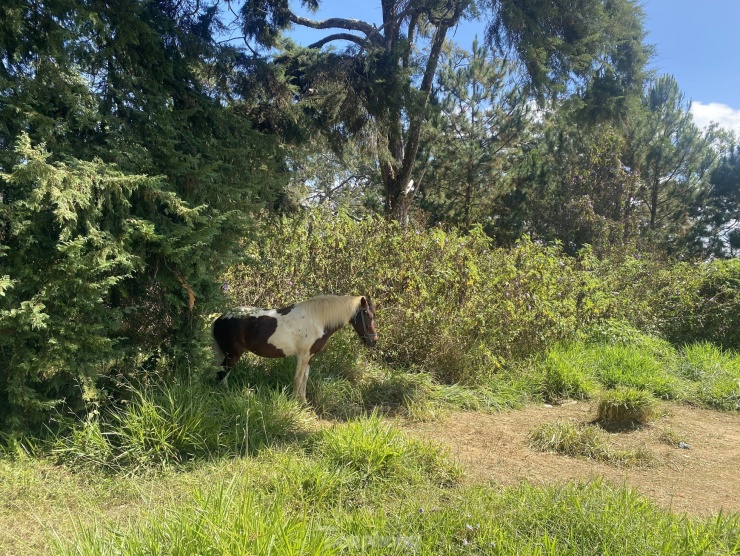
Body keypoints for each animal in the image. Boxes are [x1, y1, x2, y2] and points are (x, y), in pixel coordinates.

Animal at [211, 296, 378, 400]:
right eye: (368, 315)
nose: (374, 341)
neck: (317, 320)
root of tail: (219, 319)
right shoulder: (302, 355)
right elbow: (298, 379)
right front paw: (294, 402)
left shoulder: (309, 357)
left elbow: (304, 378)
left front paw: (303, 402)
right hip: (232, 355)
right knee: (222, 375)